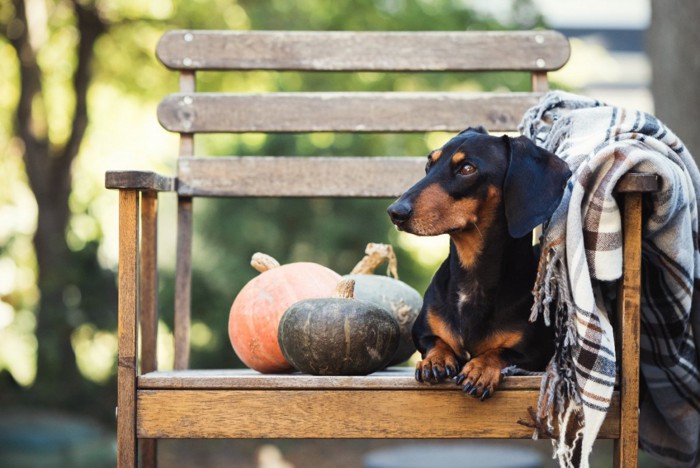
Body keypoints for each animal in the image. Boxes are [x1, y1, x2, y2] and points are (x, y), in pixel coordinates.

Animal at [386, 127, 572, 398]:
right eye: (429, 164)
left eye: (467, 168)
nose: (395, 212)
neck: (472, 277)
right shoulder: (421, 332)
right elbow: (436, 341)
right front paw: (435, 360)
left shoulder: (533, 352)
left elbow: (501, 353)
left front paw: (480, 368)